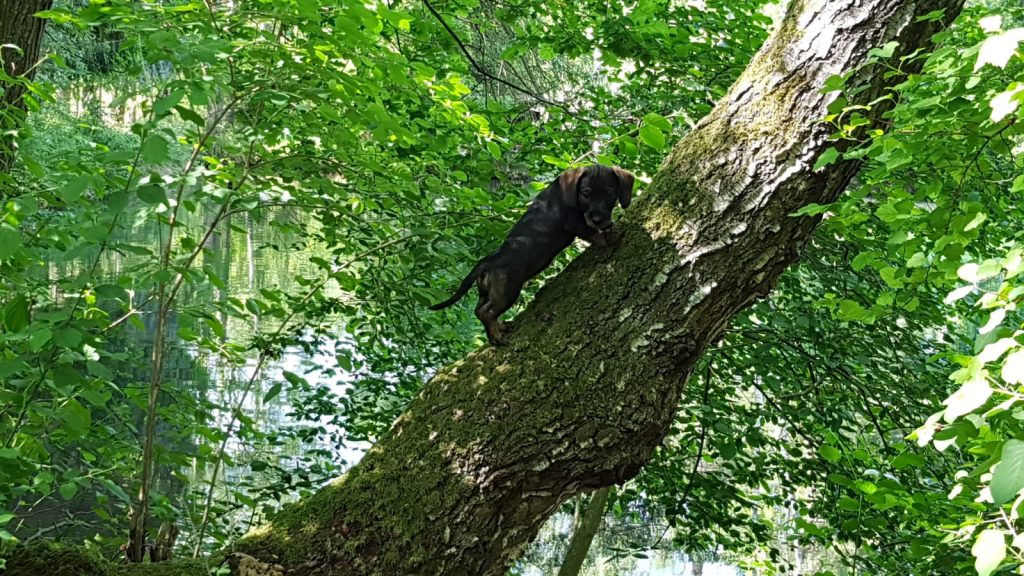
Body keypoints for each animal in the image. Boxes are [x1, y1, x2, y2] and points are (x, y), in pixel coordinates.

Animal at [430, 163, 630, 342]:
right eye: (586, 193)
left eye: (610, 191)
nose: (599, 219)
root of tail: (488, 261)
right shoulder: (575, 222)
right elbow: (593, 234)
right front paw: (609, 238)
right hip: (507, 291)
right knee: (486, 312)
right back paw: (497, 336)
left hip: (486, 291)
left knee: (479, 310)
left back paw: (497, 330)